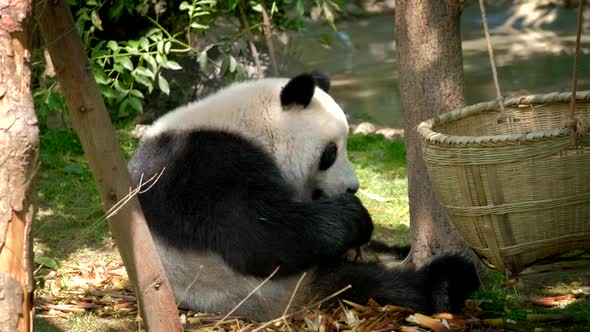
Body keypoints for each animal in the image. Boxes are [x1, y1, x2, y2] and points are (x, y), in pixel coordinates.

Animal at [128, 71, 480, 320]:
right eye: (330, 152)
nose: (352, 187)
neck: (249, 123)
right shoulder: (201, 164)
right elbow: (260, 238)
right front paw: (356, 216)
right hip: (274, 288)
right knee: (368, 283)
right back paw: (449, 281)